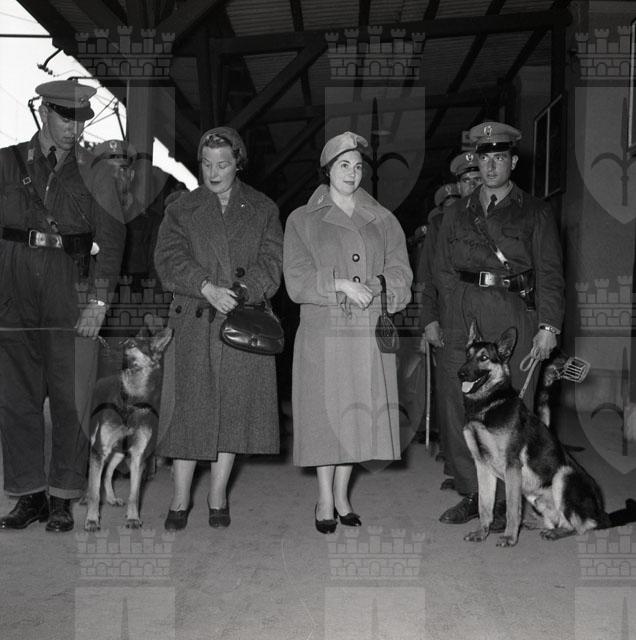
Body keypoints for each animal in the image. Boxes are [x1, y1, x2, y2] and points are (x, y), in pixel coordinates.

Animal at [84, 326, 173, 532]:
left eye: (131, 345)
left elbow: (134, 494)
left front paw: (132, 517)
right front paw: (92, 520)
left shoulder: (138, 456)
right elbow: (94, 492)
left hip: (119, 452)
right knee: (94, 478)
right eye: (122, 342)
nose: (107, 350)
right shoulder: (99, 449)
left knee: (108, 473)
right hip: (97, 446)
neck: (131, 402)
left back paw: (111, 497)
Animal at [458, 324, 609, 547]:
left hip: (563, 476)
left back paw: (554, 533)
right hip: (534, 496)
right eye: (467, 355)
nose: (461, 373)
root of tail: (600, 511)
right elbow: (484, 506)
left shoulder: (512, 467)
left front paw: (510, 537)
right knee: (555, 520)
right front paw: (482, 532)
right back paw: (535, 524)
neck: (489, 404)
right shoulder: (482, 466)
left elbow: (512, 509)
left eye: (484, 357)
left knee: (579, 526)